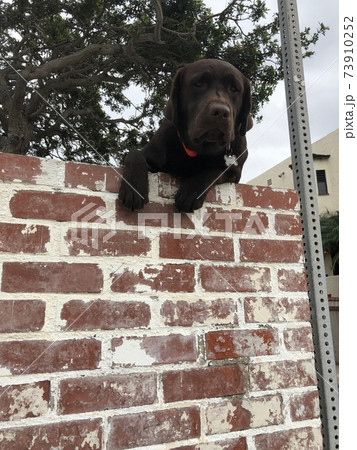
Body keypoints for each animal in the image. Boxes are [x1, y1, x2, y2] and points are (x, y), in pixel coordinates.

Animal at [118, 59, 252, 212]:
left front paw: (191, 192)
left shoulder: (235, 171)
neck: (198, 150)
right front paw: (134, 188)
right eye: (199, 83)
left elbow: (215, 171)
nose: (220, 112)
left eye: (234, 89)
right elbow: (134, 154)